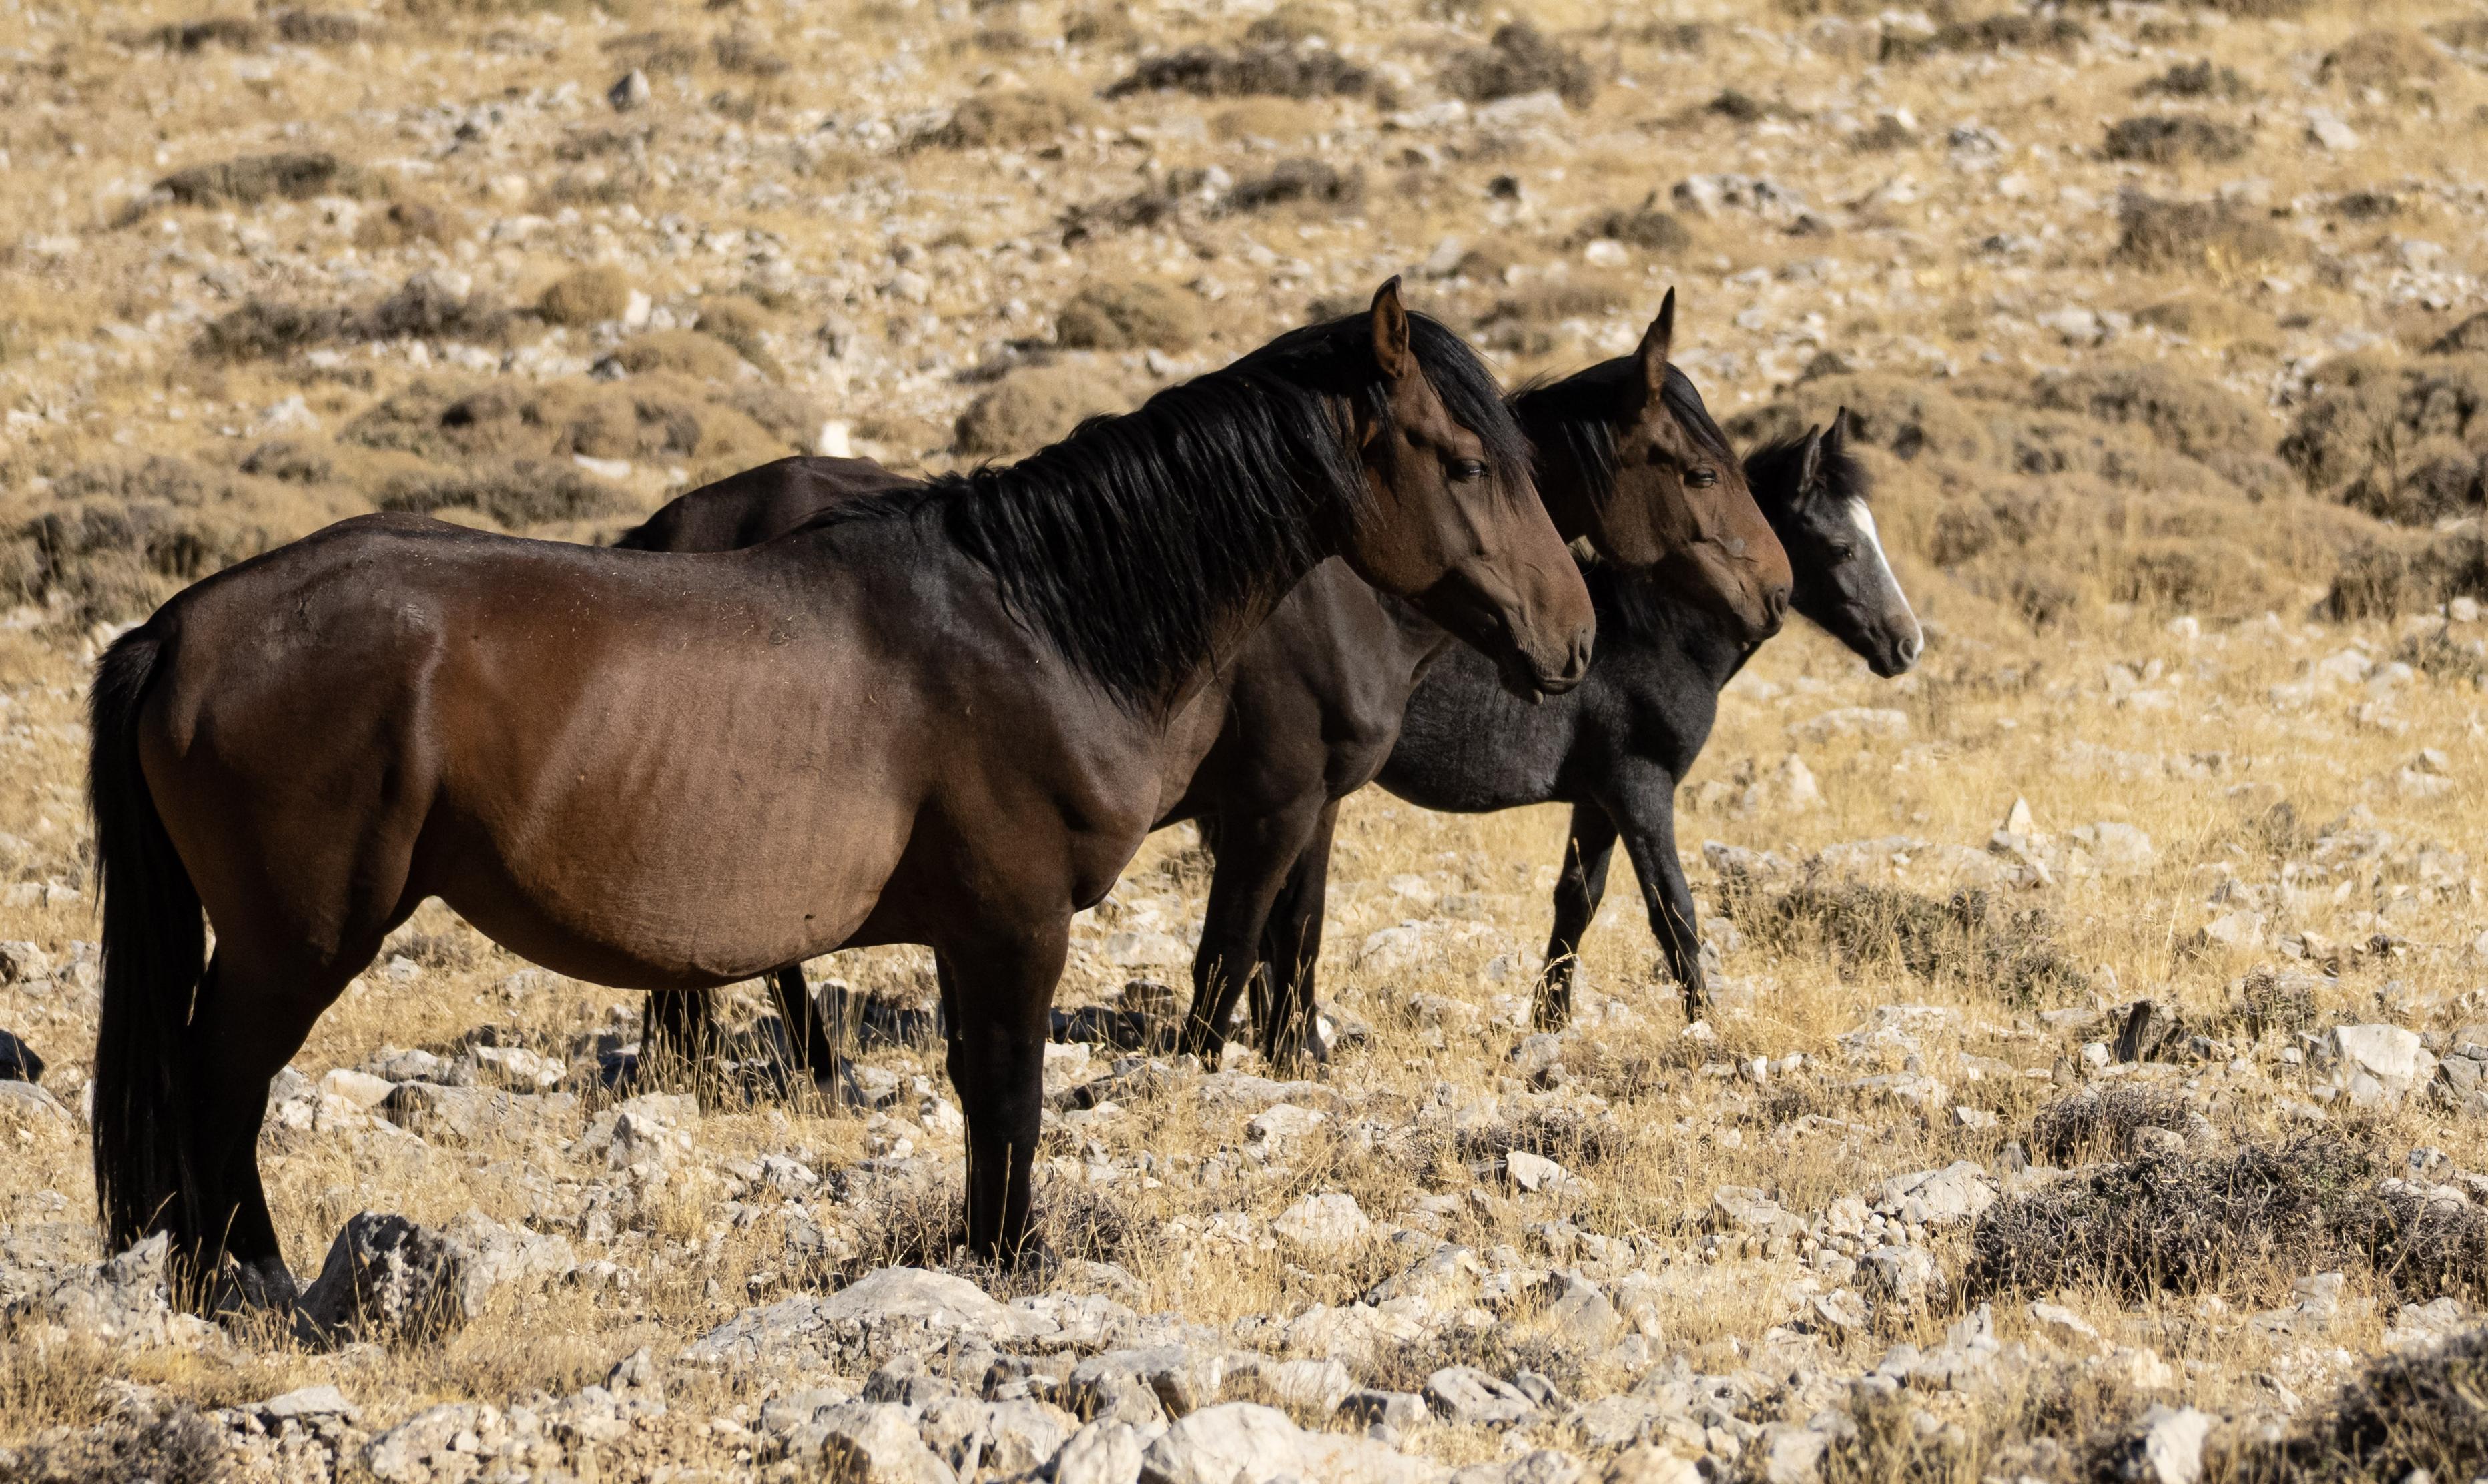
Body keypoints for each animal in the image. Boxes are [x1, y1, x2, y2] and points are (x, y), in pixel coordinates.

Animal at [87, 282, 1596, 1297]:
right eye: (1469, 463)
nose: (1573, 637)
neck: (1040, 616)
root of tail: (179, 626)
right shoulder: (1019, 924)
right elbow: (1013, 1091)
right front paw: (1009, 1258)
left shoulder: (975, 933)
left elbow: (985, 1089)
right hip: (296, 940)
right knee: (219, 1085)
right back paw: (252, 1287)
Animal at [614, 292, 1793, 1074]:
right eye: (1700, 472)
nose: (1777, 591)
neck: (1334, 593)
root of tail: (675, 525)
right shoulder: (1267, 805)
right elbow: (1230, 954)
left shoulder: (1317, 807)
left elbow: (1295, 946)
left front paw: (1297, 1057)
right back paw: (812, 1066)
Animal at [1371, 408, 1922, 1032]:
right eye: (1841, 548)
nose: (1907, 645)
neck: (1655, 635)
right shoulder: (1642, 786)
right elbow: (1673, 909)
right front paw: (1704, 1023)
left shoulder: (1598, 799)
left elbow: (1578, 900)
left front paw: (1549, 1022)